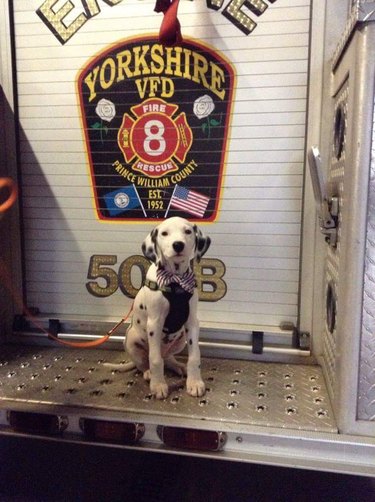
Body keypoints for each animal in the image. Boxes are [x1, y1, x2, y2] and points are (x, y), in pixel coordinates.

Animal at [111, 216, 212, 400]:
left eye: (188, 231)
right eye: (164, 233)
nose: (178, 245)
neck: (175, 280)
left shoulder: (192, 322)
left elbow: (195, 356)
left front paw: (194, 382)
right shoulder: (155, 323)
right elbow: (155, 359)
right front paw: (158, 385)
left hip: (180, 339)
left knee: (168, 358)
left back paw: (179, 366)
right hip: (131, 340)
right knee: (145, 363)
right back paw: (149, 374)